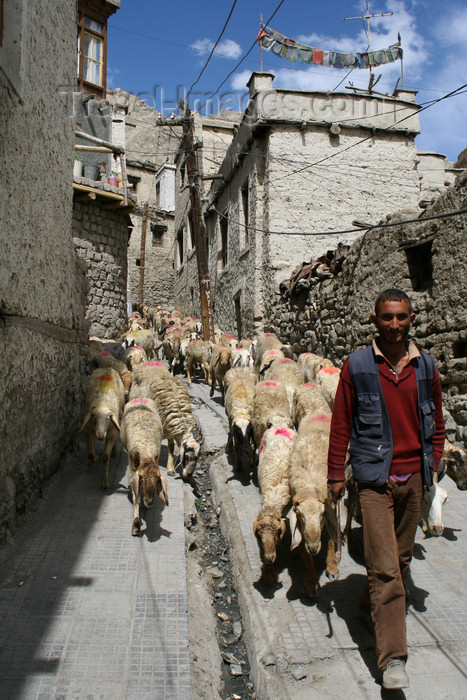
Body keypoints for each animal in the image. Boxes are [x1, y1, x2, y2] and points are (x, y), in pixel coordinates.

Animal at [120, 400, 170, 536]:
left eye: (157, 481)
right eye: (141, 480)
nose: (149, 502)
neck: (146, 452)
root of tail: (140, 398)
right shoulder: (132, 468)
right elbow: (136, 497)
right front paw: (136, 524)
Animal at [288, 412, 340, 600]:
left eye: (321, 514)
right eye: (300, 516)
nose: (314, 547)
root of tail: (319, 413)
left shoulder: (331, 503)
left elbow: (332, 536)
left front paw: (331, 566)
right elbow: (303, 551)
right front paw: (311, 583)